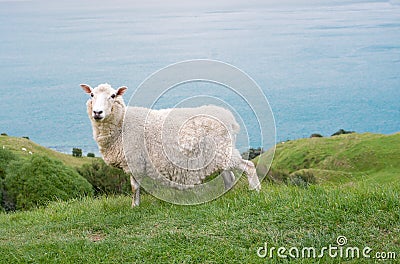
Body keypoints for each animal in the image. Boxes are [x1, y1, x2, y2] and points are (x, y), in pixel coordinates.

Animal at [81, 82, 262, 206]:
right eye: (91, 95)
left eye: (113, 96)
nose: (97, 112)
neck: (122, 123)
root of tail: (230, 118)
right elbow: (135, 187)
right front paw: (135, 205)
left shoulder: (135, 160)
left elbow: (134, 187)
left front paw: (135, 206)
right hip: (217, 154)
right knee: (229, 177)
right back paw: (223, 197)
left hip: (223, 150)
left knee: (248, 166)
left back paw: (256, 190)